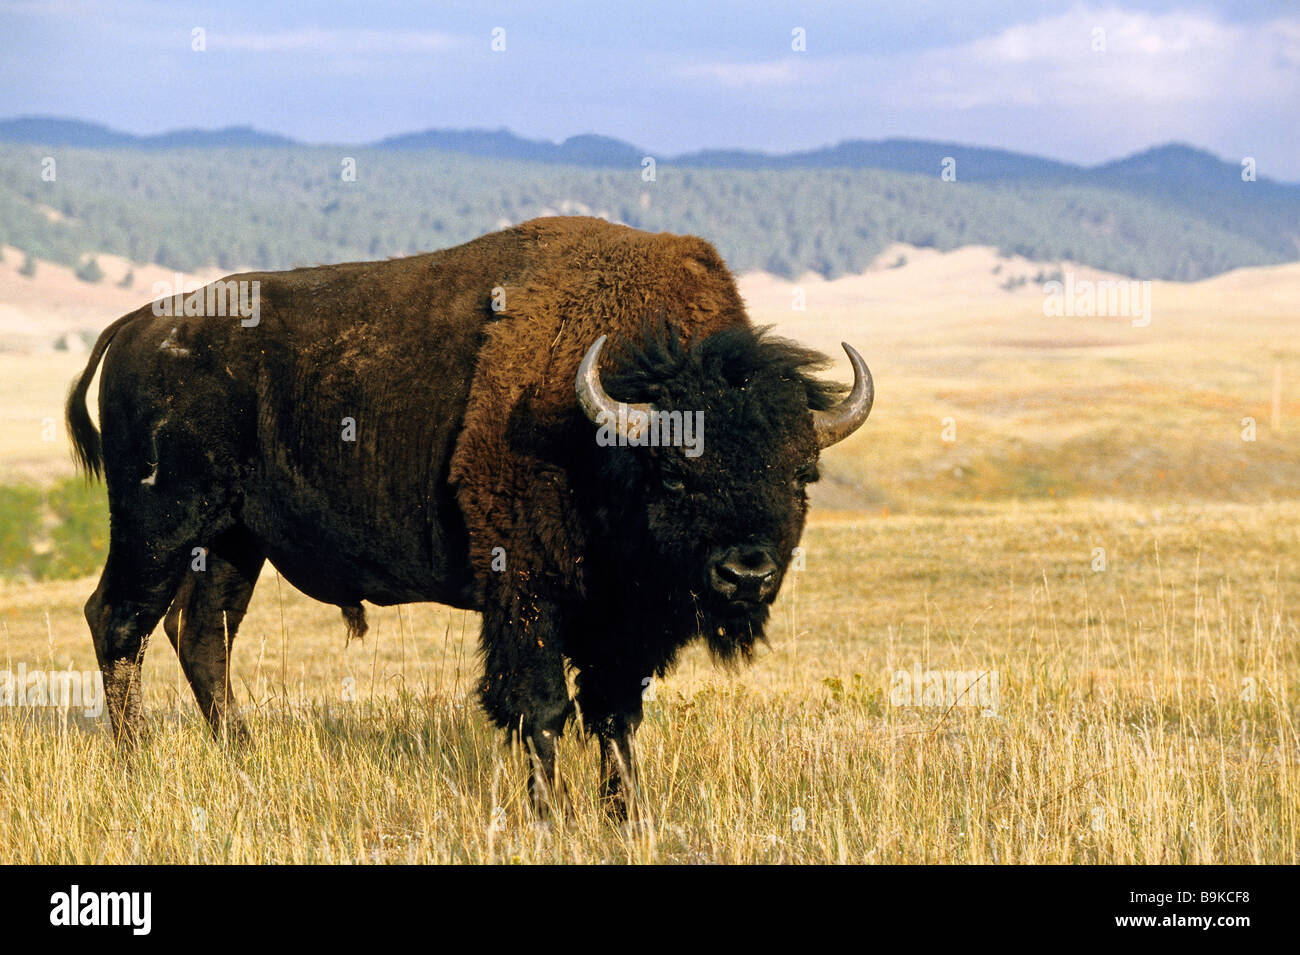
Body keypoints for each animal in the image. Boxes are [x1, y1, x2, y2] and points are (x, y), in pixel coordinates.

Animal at [66, 216, 872, 816]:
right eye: (674, 472)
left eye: (802, 475)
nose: (747, 572)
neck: (603, 430)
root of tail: (137, 325)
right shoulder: (526, 592)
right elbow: (541, 706)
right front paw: (549, 816)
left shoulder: (623, 623)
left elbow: (615, 712)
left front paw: (628, 816)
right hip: (160, 524)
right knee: (120, 621)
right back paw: (138, 769)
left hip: (234, 540)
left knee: (202, 633)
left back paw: (242, 757)